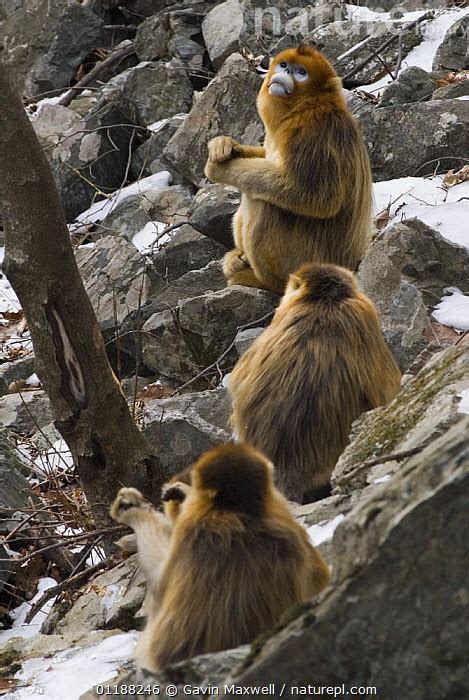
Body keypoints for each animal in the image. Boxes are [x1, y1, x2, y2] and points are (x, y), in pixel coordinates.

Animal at [203, 43, 372, 296]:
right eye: (284, 65)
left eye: (301, 72)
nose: (286, 73)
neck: (304, 106)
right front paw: (224, 145)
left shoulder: (314, 132)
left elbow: (316, 197)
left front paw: (218, 169)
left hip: (307, 261)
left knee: (263, 201)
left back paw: (263, 282)